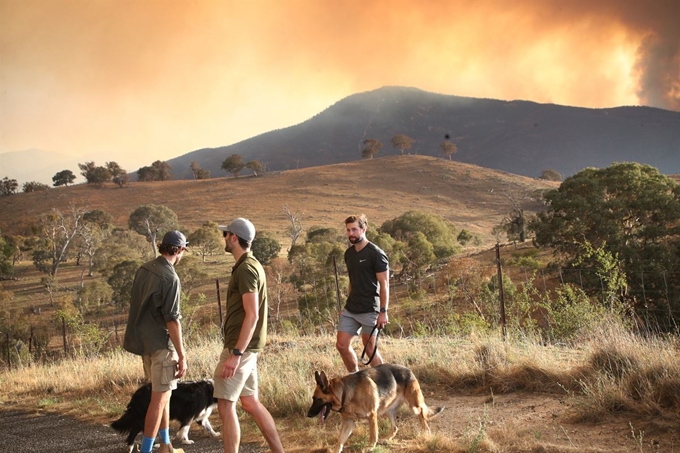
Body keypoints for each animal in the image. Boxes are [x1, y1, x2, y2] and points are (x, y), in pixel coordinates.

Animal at [306, 364, 444, 452]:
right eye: (313, 398)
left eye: (317, 399)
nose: (308, 415)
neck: (346, 392)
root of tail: (408, 370)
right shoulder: (349, 422)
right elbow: (340, 440)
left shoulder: (372, 415)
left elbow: (373, 434)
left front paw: (371, 447)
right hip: (388, 410)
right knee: (395, 427)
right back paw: (387, 439)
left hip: (413, 406)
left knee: (422, 415)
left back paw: (426, 433)